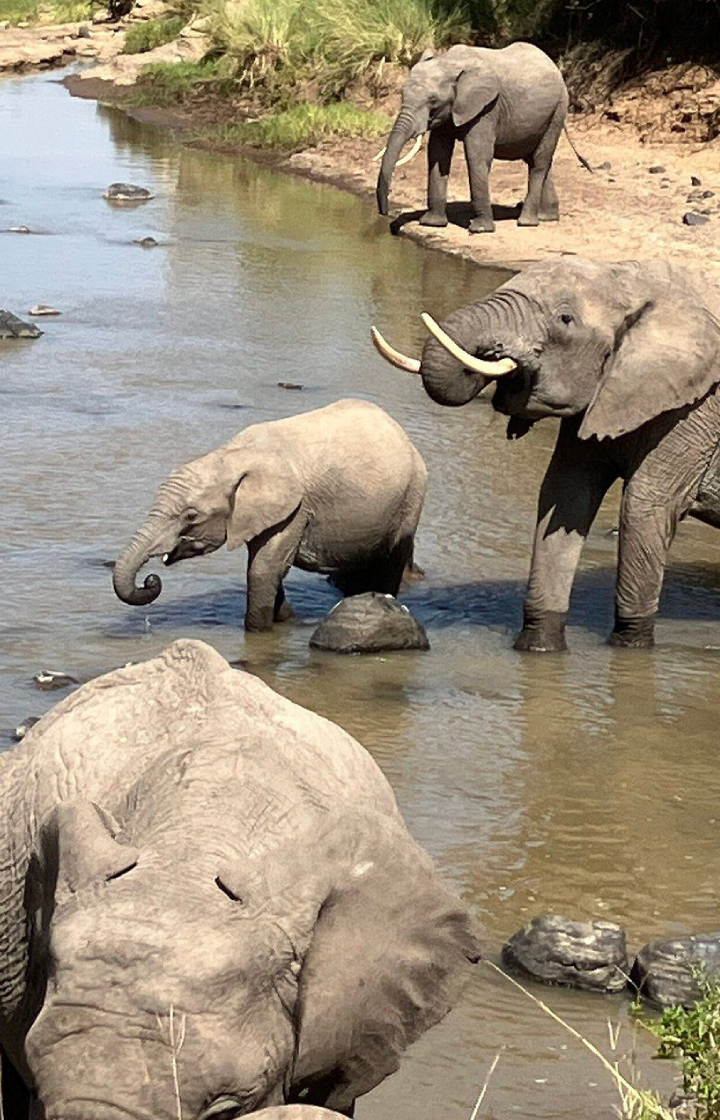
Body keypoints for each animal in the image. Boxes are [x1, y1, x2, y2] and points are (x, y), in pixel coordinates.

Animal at [113, 399, 427, 632]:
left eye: (191, 516)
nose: (150, 580)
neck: (232, 456)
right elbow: (265, 566)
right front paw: (288, 619)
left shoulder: (296, 509)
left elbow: (264, 569)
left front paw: (261, 630)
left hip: (412, 496)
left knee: (391, 559)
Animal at [371, 257, 720, 651]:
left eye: (565, 318)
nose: (496, 351)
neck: (637, 282)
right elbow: (565, 494)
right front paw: (537, 649)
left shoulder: (695, 408)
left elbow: (645, 507)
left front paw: (629, 649)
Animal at [376, 43, 570, 234]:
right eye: (402, 95)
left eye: (433, 101)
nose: (386, 215)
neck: (449, 63)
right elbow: (438, 153)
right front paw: (432, 223)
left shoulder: (487, 109)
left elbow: (476, 156)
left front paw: (481, 229)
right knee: (539, 161)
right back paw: (547, 217)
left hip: (558, 110)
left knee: (539, 162)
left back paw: (526, 222)